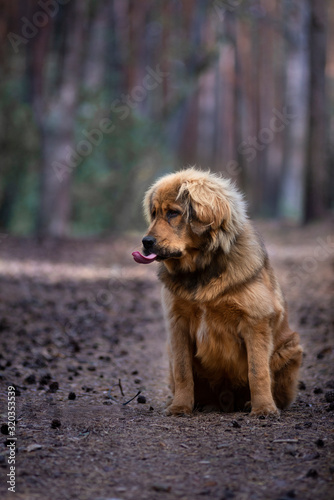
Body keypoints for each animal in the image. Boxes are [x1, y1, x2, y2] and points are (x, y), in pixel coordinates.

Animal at [132, 168, 302, 418]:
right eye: (154, 214)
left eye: (173, 213)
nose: (146, 242)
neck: (201, 268)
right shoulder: (178, 324)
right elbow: (183, 372)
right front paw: (180, 407)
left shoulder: (255, 322)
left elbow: (257, 371)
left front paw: (263, 408)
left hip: (290, 348)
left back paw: (250, 403)